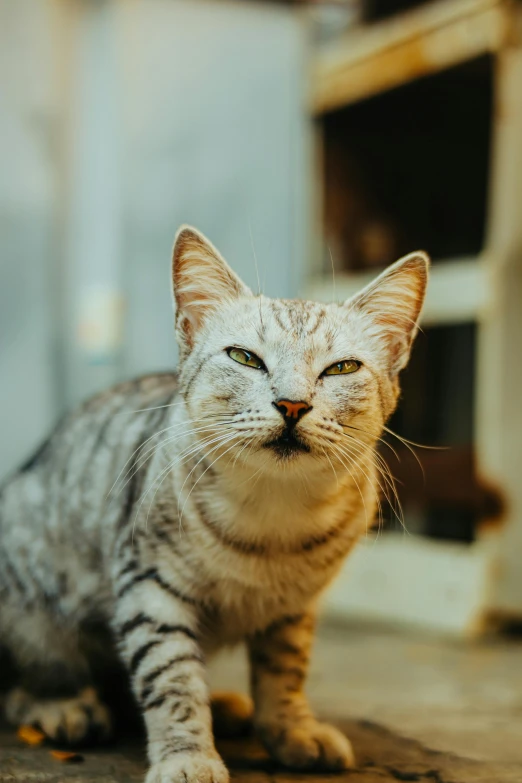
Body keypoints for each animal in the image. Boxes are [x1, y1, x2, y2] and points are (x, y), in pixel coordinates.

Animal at [0, 228, 426, 783]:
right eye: (246, 358)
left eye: (342, 368)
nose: (292, 404)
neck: (274, 515)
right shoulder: (151, 588)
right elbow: (171, 678)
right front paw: (188, 755)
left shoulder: (295, 609)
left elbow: (284, 672)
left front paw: (292, 730)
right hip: (35, 613)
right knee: (27, 683)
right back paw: (64, 707)